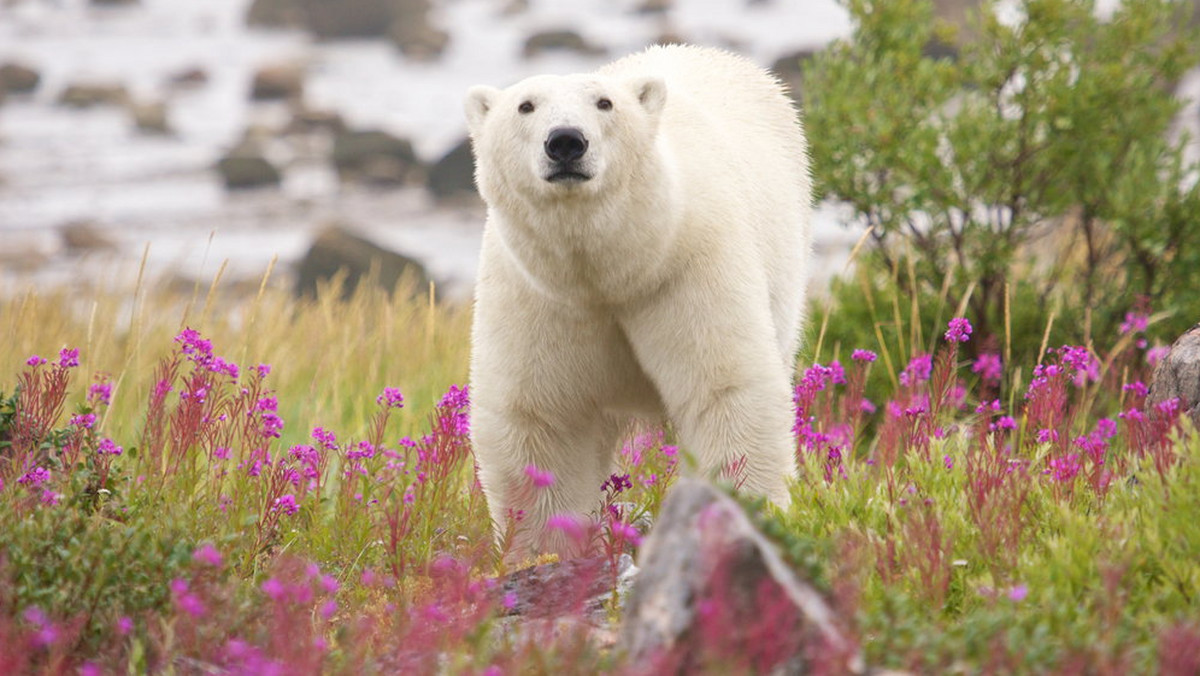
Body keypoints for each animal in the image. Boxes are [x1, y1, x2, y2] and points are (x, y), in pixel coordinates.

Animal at [463, 45, 811, 557]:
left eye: (604, 103)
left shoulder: (688, 271)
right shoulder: (538, 297)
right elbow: (541, 420)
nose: (565, 141)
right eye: (525, 106)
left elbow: (724, 388)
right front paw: (545, 548)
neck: (613, 272)